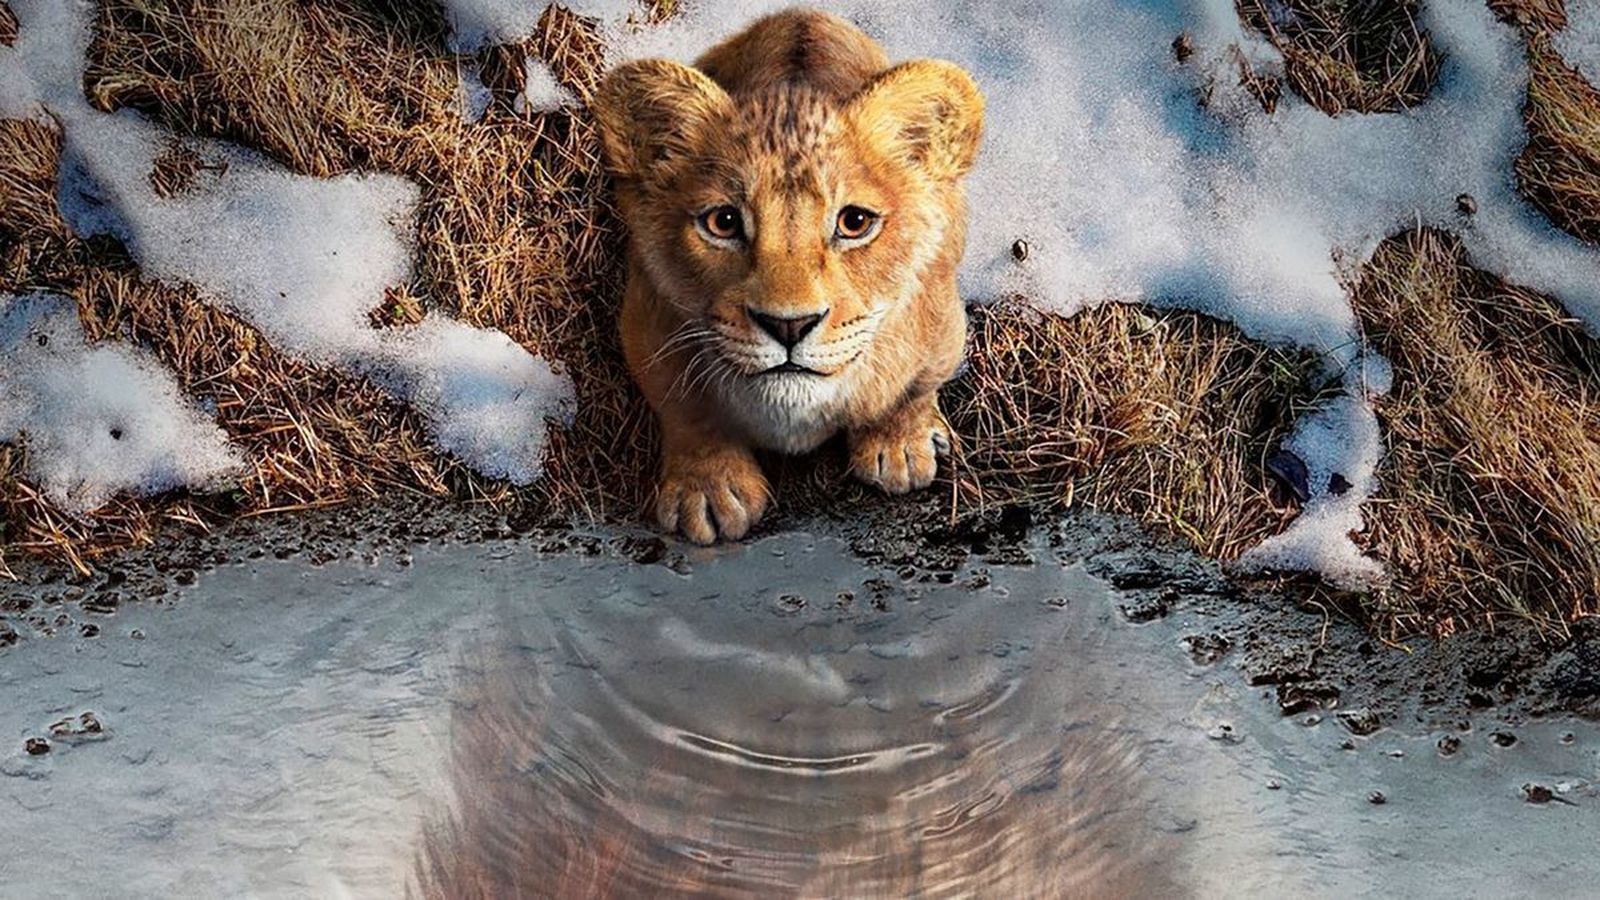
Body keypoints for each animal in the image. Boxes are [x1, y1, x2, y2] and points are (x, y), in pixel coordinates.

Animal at [593, 9, 984, 544]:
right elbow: (687, 410)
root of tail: (802, 13)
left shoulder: (942, 324)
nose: (789, 325)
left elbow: (912, 389)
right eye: (723, 222)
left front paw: (900, 446)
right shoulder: (646, 323)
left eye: (854, 222)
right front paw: (707, 490)